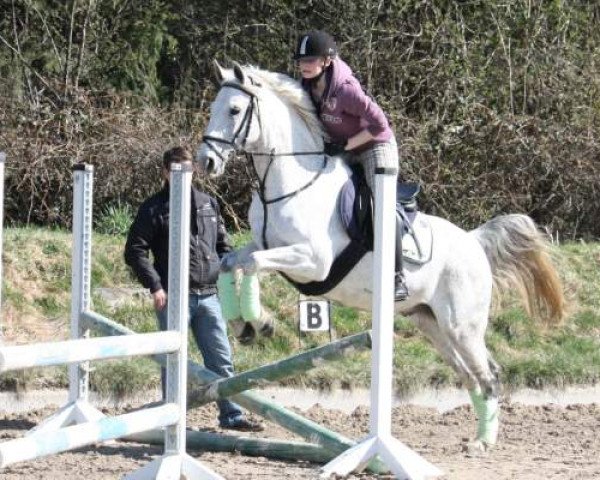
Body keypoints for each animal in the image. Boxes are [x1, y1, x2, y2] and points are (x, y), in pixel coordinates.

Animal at [196, 62, 564, 450]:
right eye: (213, 108)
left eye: (234, 110)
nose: (205, 161)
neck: (288, 185)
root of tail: (474, 242)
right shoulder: (263, 244)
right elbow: (231, 262)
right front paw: (242, 325)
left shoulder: (313, 262)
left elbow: (252, 264)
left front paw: (261, 321)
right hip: (431, 323)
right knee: (468, 375)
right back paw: (479, 435)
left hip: (461, 325)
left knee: (487, 373)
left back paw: (483, 442)